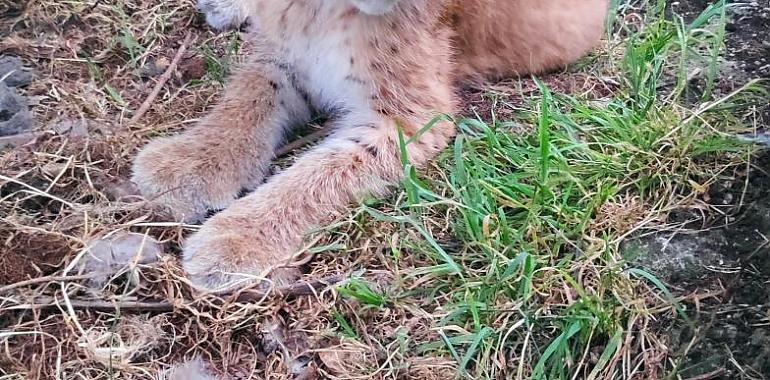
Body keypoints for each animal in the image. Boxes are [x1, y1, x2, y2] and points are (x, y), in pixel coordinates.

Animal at [135, 0, 608, 290]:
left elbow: (319, 172)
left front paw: (238, 235)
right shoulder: (282, 53)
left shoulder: (413, 118)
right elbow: (244, 101)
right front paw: (190, 162)